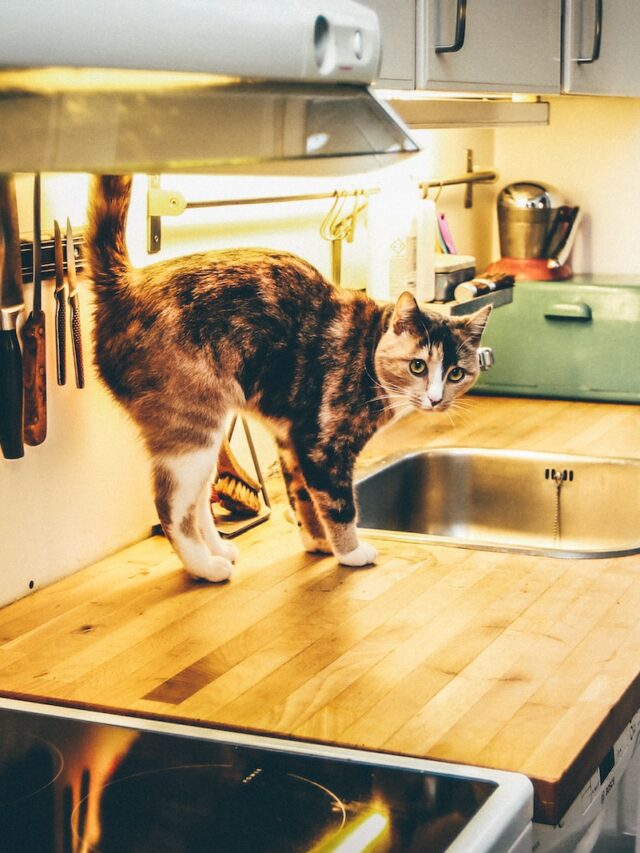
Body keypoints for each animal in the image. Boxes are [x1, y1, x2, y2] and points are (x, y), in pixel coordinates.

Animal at [85, 176, 490, 584]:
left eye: (456, 373)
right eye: (418, 366)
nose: (436, 399)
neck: (368, 350)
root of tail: (127, 284)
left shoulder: (292, 440)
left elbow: (303, 499)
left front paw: (318, 544)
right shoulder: (324, 447)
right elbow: (340, 506)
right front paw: (350, 552)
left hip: (206, 440)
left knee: (198, 502)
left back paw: (219, 550)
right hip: (192, 429)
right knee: (171, 507)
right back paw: (206, 566)